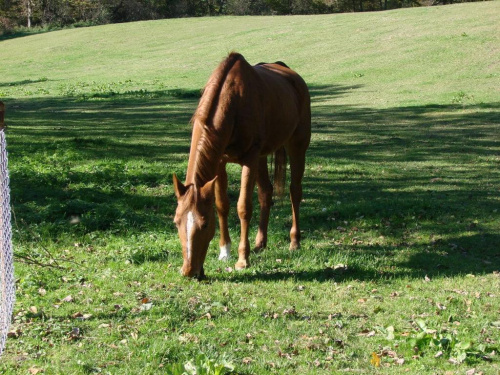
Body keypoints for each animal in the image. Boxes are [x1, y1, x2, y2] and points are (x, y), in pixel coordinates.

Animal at [174, 53, 310, 278]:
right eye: (176, 222)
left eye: (204, 224)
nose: (189, 271)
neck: (233, 103)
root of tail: (291, 74)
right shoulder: (220, 162)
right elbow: (222, 205)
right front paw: (224, 252)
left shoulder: (249, 159)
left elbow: (243, 207)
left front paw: (242, 260)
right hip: (262, 157)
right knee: (266, 192)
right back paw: (260, 243)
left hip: (297, 145)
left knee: (294, 192)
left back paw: (294, 242)